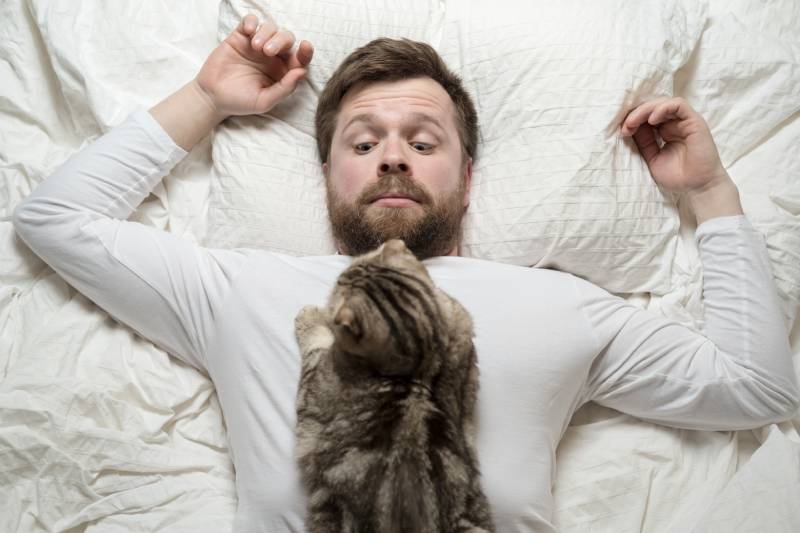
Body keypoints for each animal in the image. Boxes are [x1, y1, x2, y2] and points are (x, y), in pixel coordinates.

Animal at [294, 239, 494, 528]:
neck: (423, 364)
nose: (331, 291)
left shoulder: (313, 395)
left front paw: (310, 316)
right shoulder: (462, 327)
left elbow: (316, 346)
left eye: (338, 285)